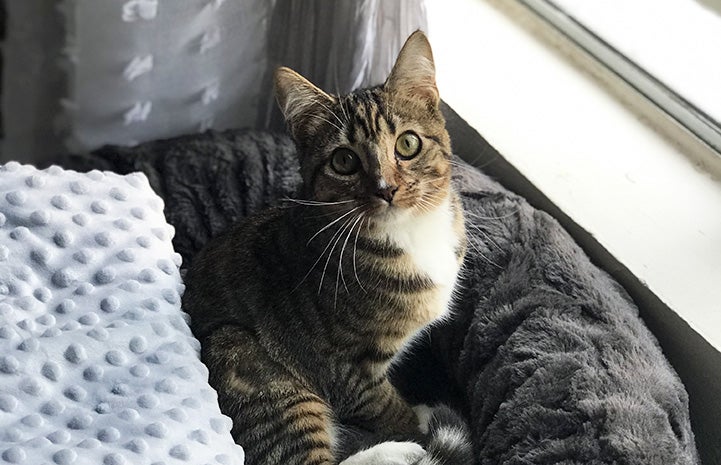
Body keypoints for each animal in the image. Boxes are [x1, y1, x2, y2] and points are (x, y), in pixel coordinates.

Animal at [183, 30, 470, 462]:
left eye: (407, 144)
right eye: (344, 161)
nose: (386, 189)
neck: (408, 235)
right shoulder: (343, 369)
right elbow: (389, 408)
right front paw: (417, 427)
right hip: (247, 361)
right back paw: (397, 450)